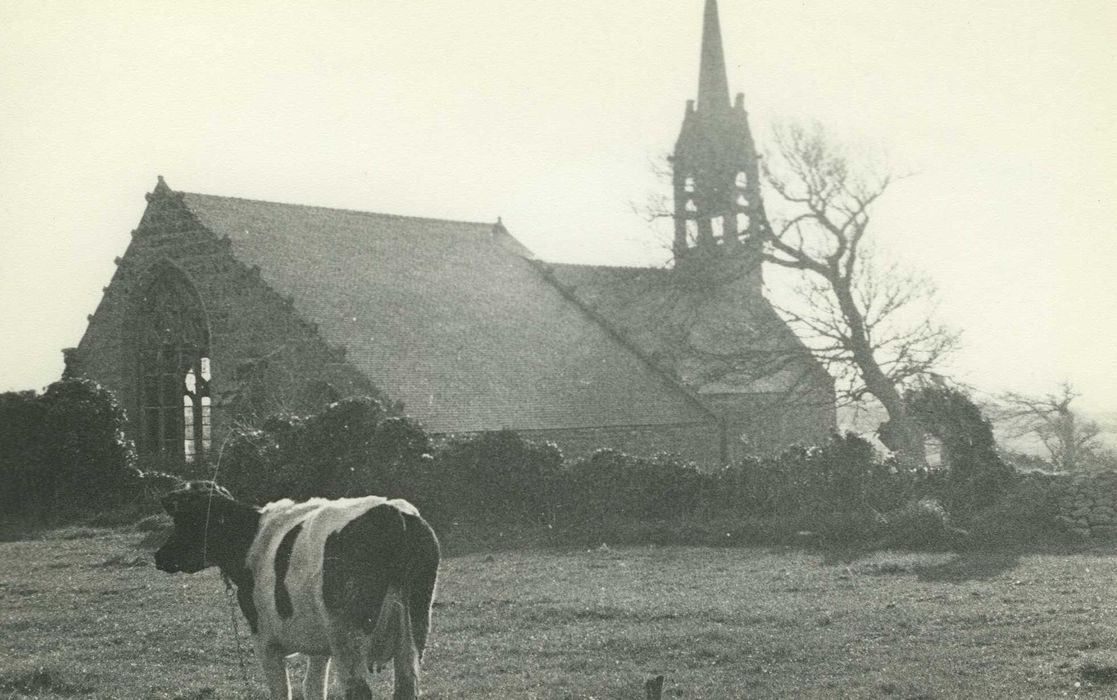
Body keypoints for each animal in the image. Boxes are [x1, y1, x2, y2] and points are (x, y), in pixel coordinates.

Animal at [154, 482, 440, 700]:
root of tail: (392, 513)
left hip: (347, 635)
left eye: (187, 520)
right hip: (415, 627)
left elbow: (282, 691)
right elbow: (313, 688)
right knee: (406, 688)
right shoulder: (320, 647)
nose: (159, 556)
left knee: (358, 690)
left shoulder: (264, 641)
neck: (252, 539)